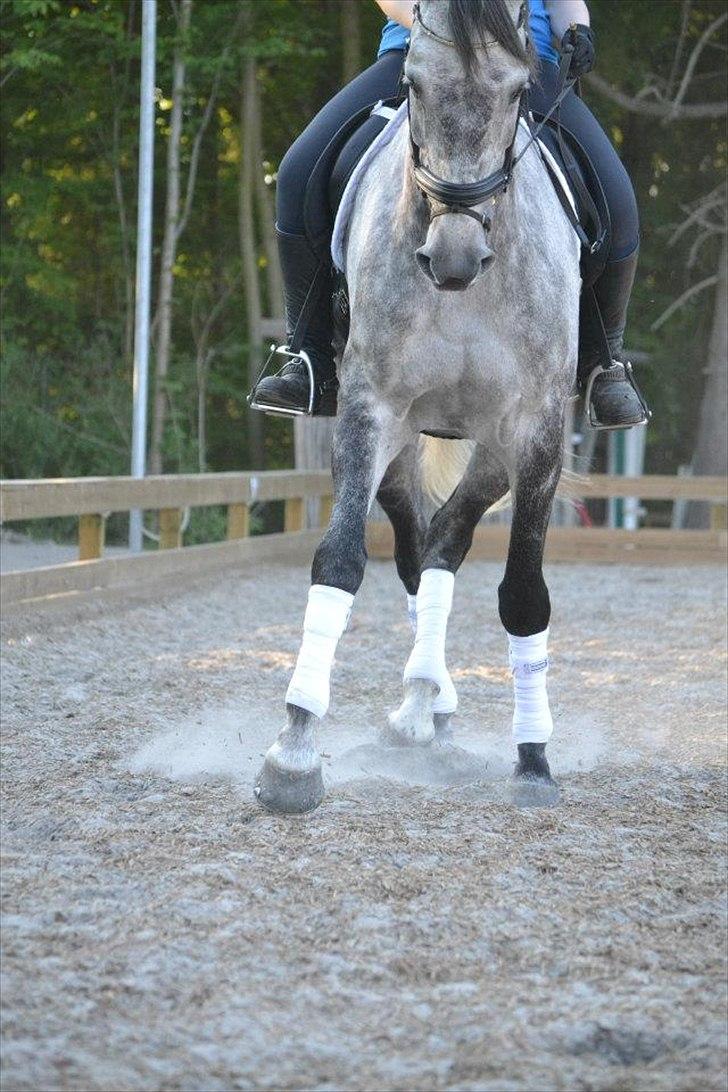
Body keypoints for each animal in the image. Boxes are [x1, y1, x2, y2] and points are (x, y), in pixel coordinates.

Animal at [256, 0, 580, 812]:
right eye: (412, 83)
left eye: (518, 90)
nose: (454, 257)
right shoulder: (372, 409)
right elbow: (340, 560)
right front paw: (294, 751)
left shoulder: (536, 430)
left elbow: (523, 595)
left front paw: (534, 760)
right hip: (402, 440)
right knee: (414, 550)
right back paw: (422, 704)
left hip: (494, 449)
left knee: (445, 543)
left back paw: (428, 699)